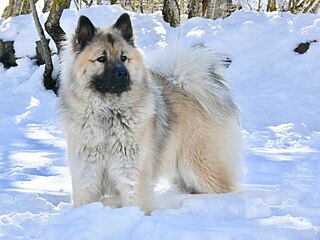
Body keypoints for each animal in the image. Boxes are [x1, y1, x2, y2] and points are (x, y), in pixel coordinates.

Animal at [58, 12, 242, 212]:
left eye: (124, 57)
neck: (108, 113)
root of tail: (185, 84)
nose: (122, 73)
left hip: (202, 168)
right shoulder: (86, 176)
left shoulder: (131, 175)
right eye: (101, 58)